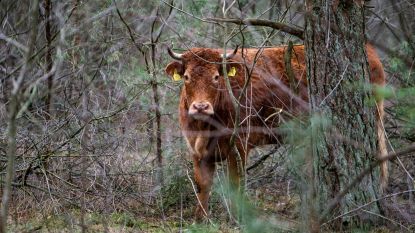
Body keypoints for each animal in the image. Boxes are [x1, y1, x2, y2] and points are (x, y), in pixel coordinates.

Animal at [164, 44, 388, 220]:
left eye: (216, 77)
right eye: (186, 77)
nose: (200, 107)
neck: (205, 128)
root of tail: (369, 50)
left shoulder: (239, 146)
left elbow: (235, 182)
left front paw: (236, 218)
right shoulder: (196, 150)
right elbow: (202, 184)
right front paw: (200, 219)